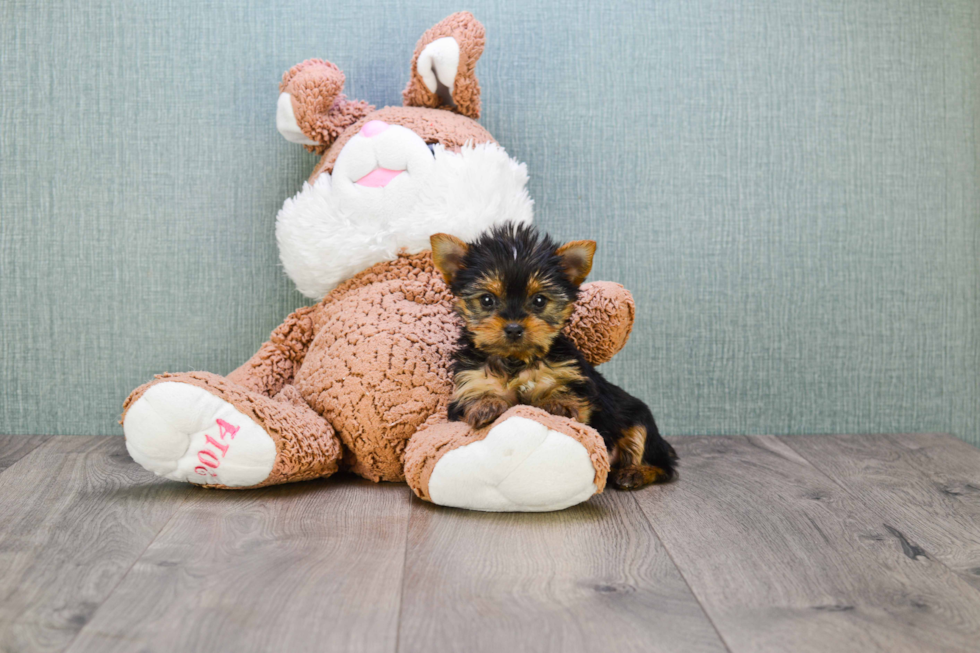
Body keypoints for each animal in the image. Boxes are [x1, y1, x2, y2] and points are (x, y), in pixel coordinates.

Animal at [432, 222, 676, 486]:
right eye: (487, 300)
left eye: (539, 300)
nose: (514, 327)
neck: (517, 360)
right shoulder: (469, 382)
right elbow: (476, 396)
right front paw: (486, 404)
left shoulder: (577, 383)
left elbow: (570, 397)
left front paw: (559, 404)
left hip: (639, 418)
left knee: (659, 459)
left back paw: (635, 472)